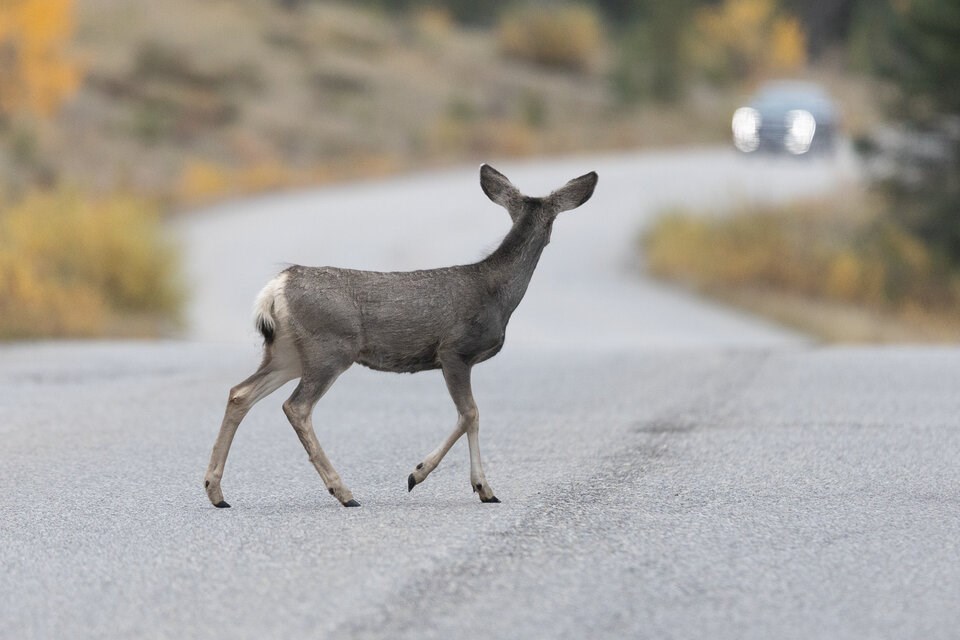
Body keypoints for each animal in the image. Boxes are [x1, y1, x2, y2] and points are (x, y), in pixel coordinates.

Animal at [202, 162, 596, 508]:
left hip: (288, 353)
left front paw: (452, 480)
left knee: (240, 393)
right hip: (329, 348)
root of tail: (276, 287)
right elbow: (470, 413)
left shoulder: (453, 359)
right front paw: (459, 482)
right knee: (295, 406)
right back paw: (343, 492)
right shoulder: (454, 351)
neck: (497, 294)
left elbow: (466, 415)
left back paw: (216, 491)